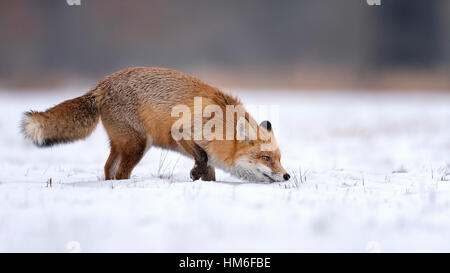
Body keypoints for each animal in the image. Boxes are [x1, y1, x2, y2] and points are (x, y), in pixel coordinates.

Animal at [21, 66, 290, 182]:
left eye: (279, 158)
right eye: (266, 158)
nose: (287, 176)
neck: (222, 124)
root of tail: (99, 86)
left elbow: (209, 170)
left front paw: (202, 181)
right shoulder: (182, 131)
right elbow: (202, 158)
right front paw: (194, 174)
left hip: (124, 145)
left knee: (108, 169)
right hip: (138, 145)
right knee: (120, 173)